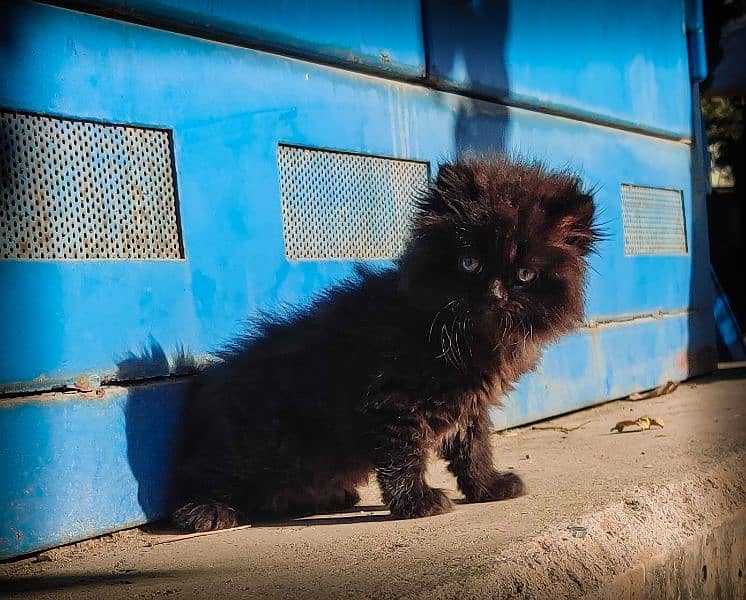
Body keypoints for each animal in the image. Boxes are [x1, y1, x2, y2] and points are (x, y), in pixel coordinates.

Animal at [170, 154, 600, 528]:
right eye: (469, 263)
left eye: (525, 274)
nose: (495, 293)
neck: (472, 340)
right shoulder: (393, 398)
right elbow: (402, 454)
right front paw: (417, 502)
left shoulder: (470, 405)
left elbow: (473, 448)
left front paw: (487, 486)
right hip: (258, 443)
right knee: (199, 476)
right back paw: (205, 511)